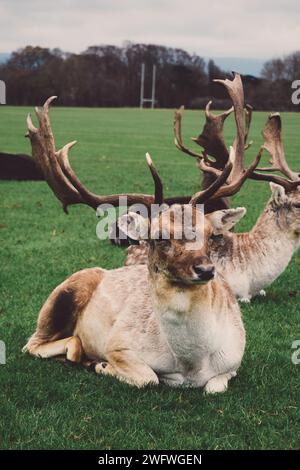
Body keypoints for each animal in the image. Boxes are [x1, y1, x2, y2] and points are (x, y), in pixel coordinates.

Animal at [22, 97, 262, 392]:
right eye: (158, 237)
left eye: (210, 235)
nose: (206, 270)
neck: (192, 365)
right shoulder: (119, 344)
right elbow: (148, 378)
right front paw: (103, 366)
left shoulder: (234, 360)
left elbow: (215, 387)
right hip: (62, 294)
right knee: (33, 344)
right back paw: (81, 355)